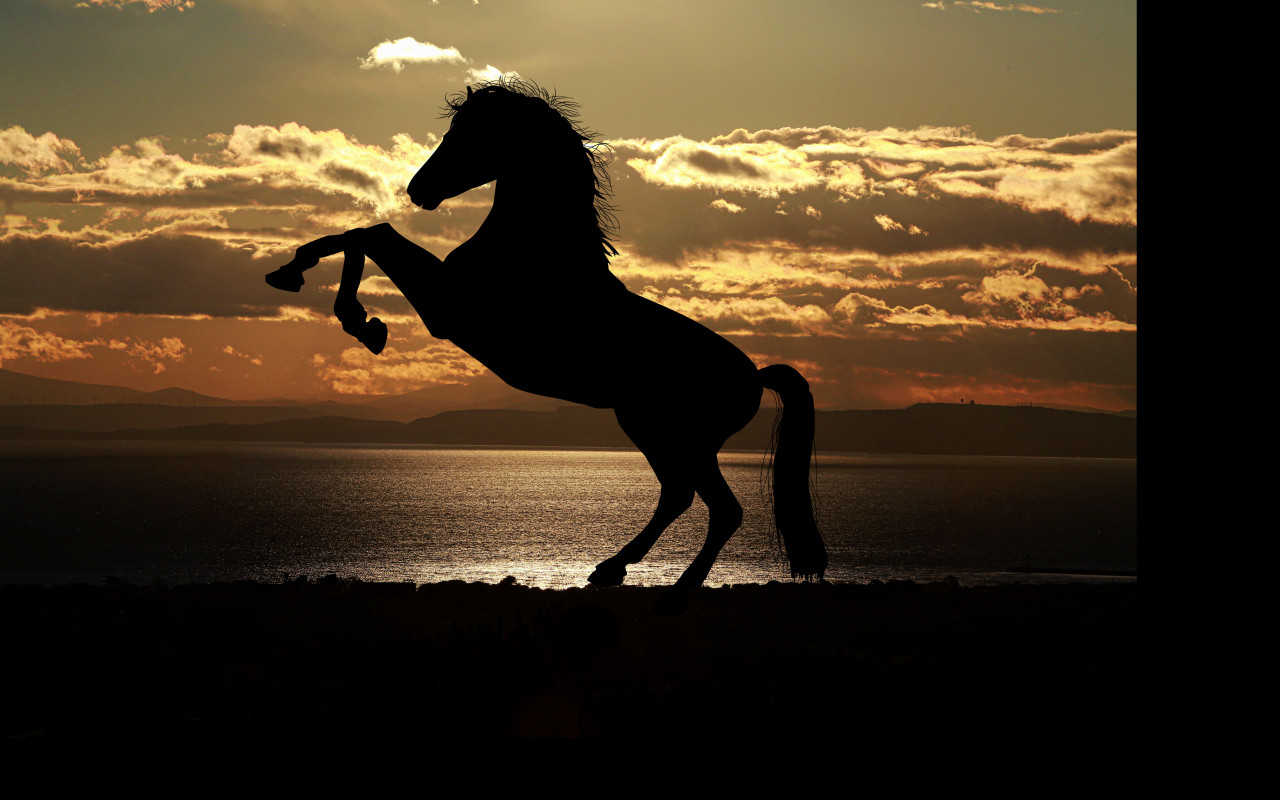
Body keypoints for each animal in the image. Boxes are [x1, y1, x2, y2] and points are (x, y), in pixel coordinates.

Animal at [264, 79, 826, 613]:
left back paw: (673, 594)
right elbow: (361, 233)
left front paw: (355, 318)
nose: (418, 189)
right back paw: (610, 569)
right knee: (678, 495)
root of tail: (754, 376)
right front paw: (302, 279)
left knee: (720, 509)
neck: (535, 251)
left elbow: (371, 233)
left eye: (471, 133)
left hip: (680, 436)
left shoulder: (447, 308)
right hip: (649, 428)